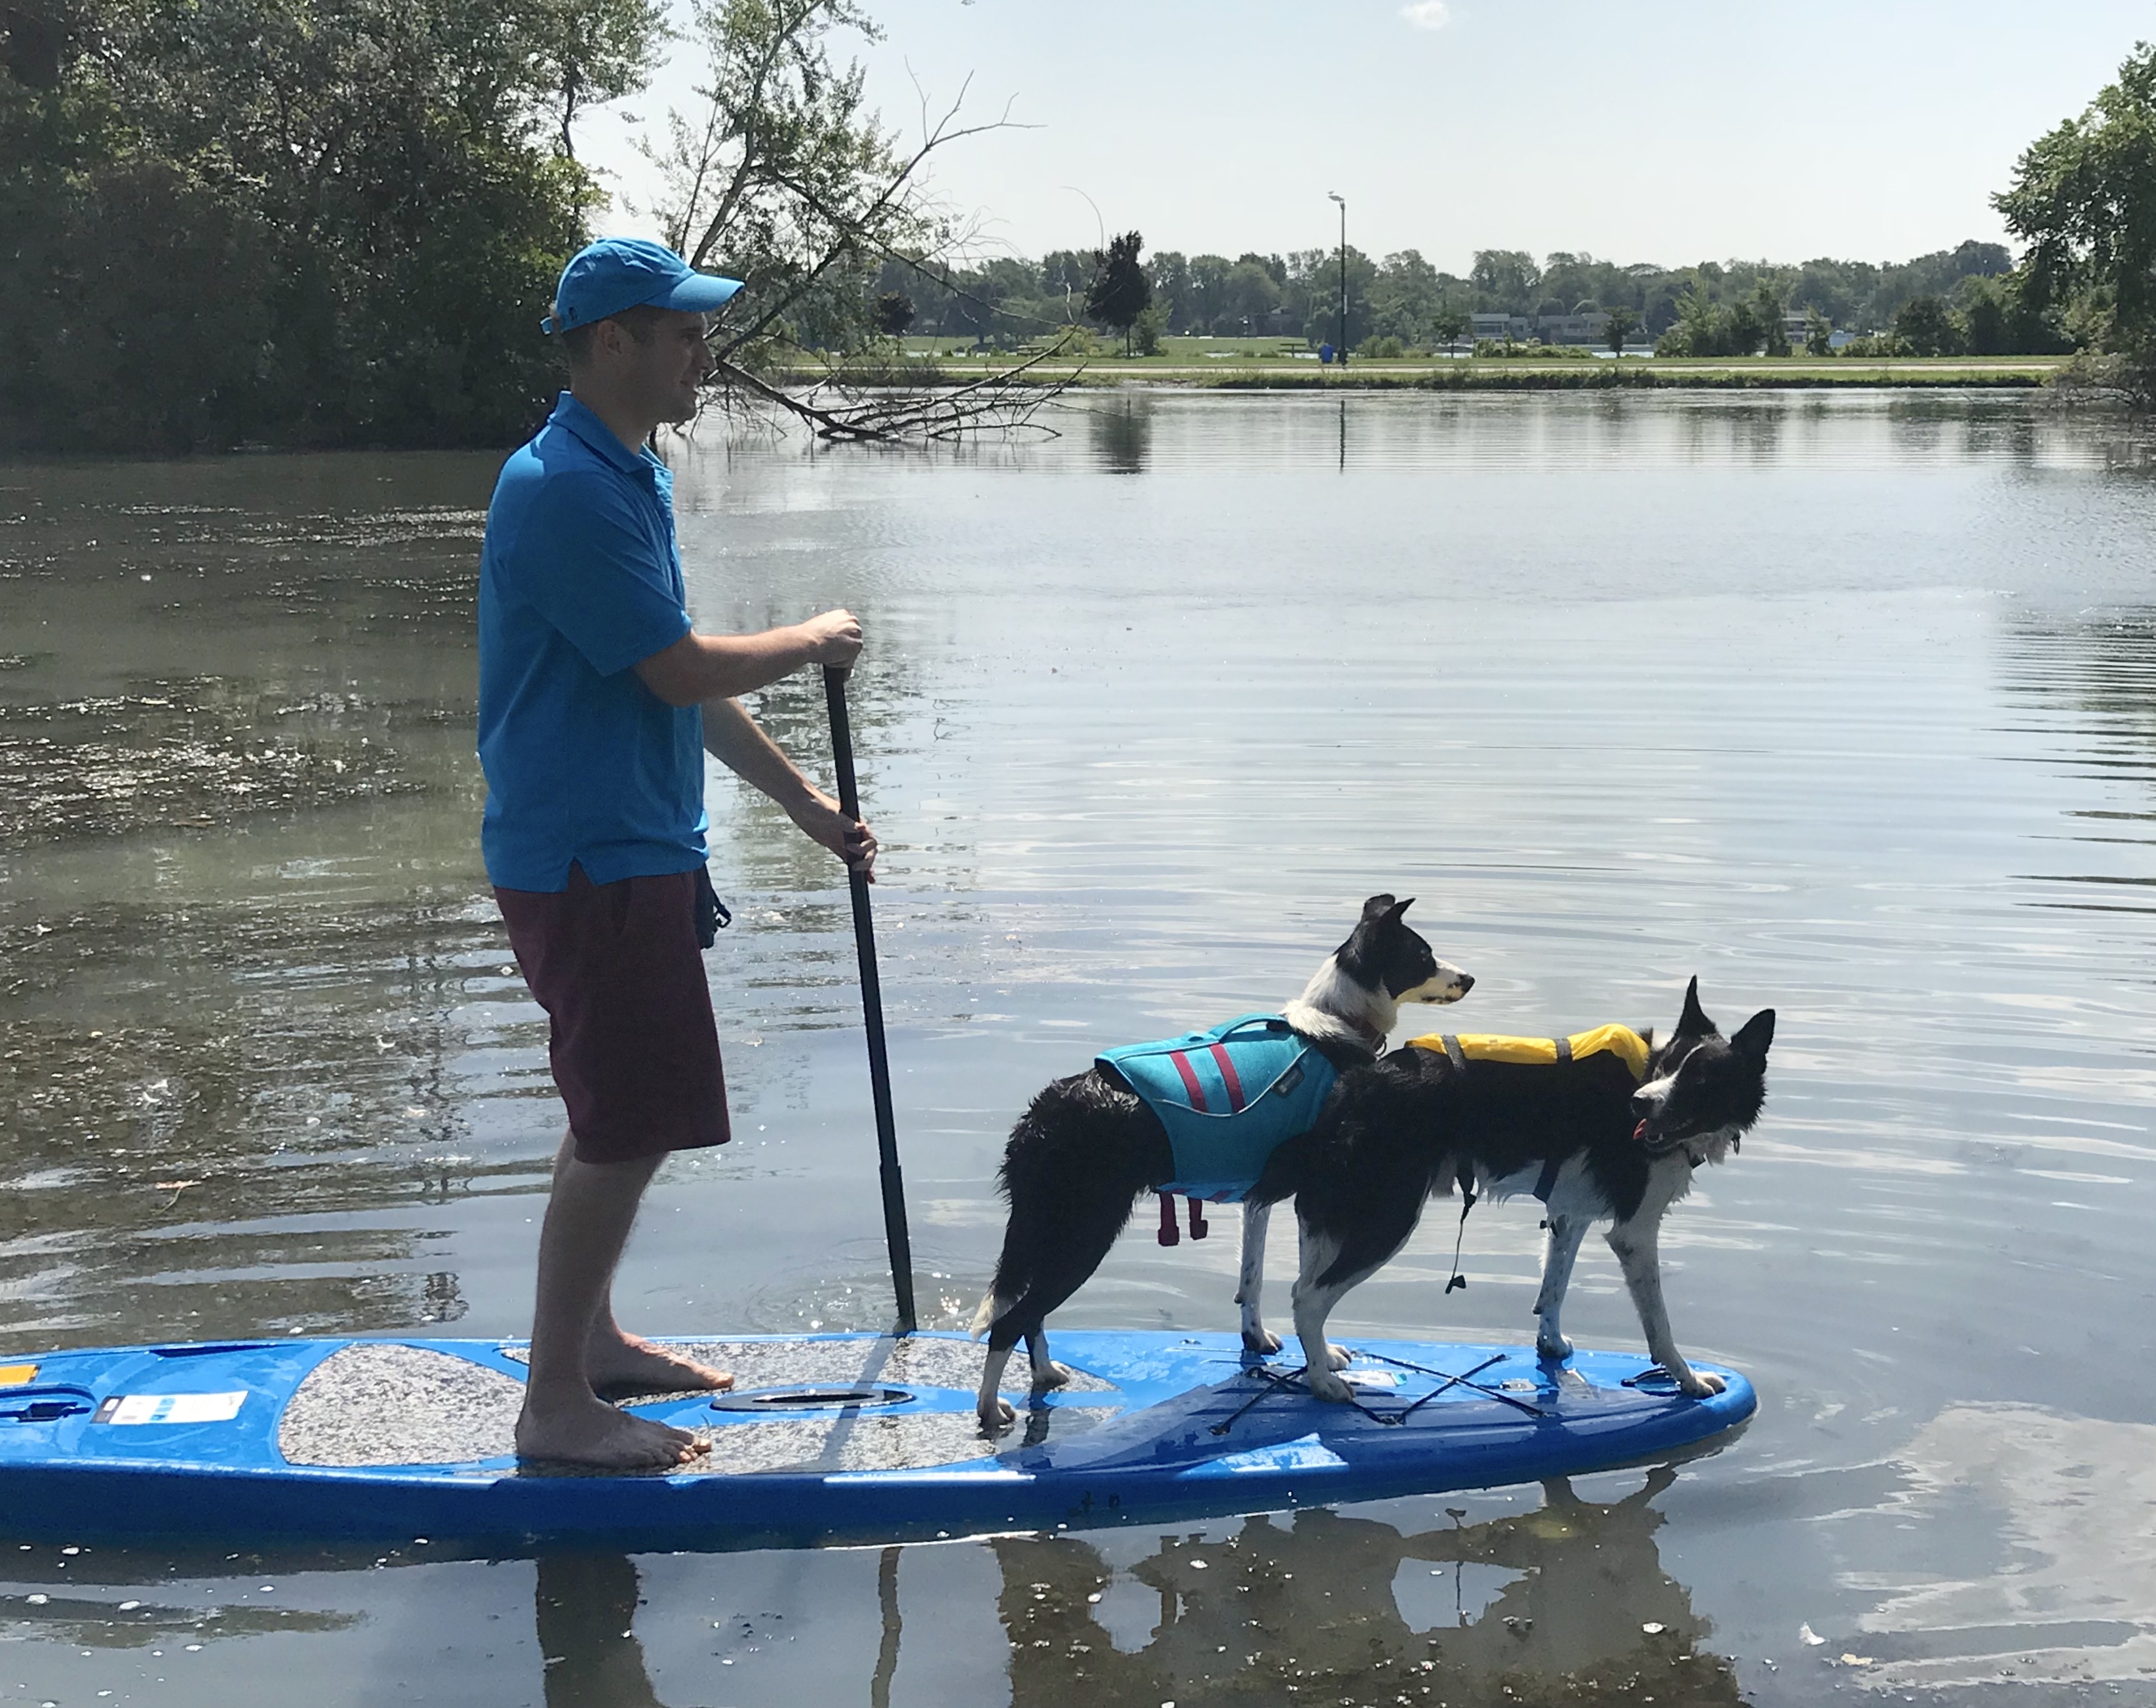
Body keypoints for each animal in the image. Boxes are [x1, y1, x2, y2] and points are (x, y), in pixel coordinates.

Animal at [970, 895, 1474, 1431]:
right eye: (1423, 955)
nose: (1469, 979)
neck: (1333, 1027)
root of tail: (1043, 1113)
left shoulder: (1263, 1199)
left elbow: (1254, 1279)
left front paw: (1262, 1340)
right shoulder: (1319, 1198)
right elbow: (1308, 1288)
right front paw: (1320, 1362)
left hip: (1048, 1231)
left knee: (1030, 1314)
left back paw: (1045, 1372)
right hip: (1084, 1235)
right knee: (1011, 1321)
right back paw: (990, 1408)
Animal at [1249, 977, 1773, 1402]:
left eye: (1699, 1079)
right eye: (1665, 1069)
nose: (1639, 1104)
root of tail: (1355, 1084)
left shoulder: (1569, 1215)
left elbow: (1553, 1289)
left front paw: (1551, 1347)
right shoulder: (1635, 1232)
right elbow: (1659, 1324)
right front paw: (1688, 1379)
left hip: (1337, 1215)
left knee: (1303, 1287)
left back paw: (1323, 1360)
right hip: (1388, 1218)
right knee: (1308, 1299)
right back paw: (1323, 1383)